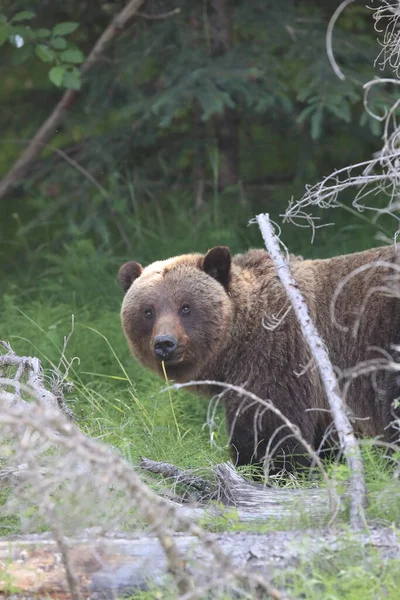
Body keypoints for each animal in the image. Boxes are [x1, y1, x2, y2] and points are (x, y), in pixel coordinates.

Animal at [118, 246, 400, 472]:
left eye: (186, 307)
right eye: (148, 311)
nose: (165, 343)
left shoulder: (277, 353)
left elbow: (268, 423)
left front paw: (264, 468)